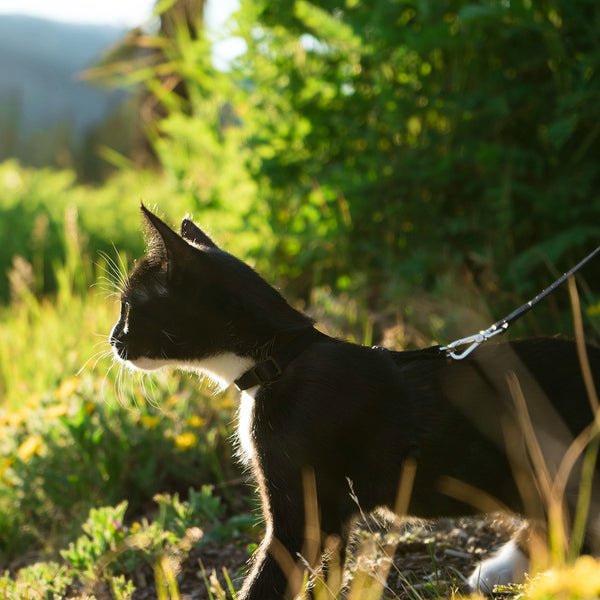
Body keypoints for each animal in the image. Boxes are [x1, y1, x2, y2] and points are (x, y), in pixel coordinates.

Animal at [110, 205, 600, 596]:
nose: (114, 340)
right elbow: (327, 573)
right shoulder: (332, 515)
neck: (280, 359)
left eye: (129, 307)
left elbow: (271, 577)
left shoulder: (303, 513)